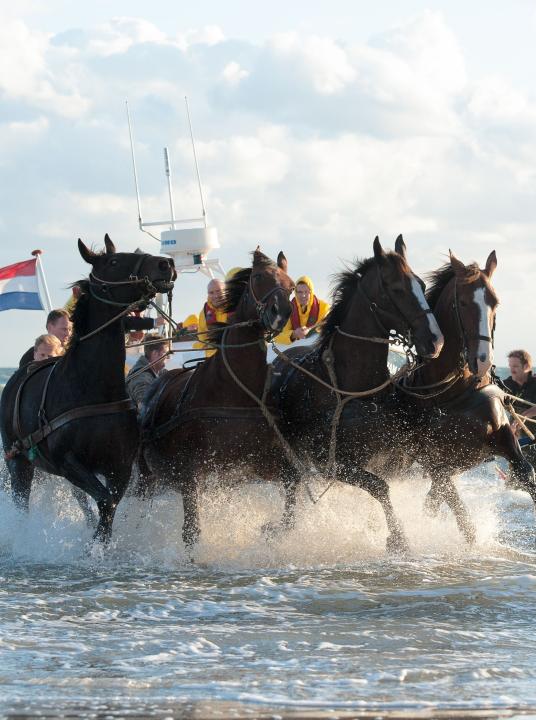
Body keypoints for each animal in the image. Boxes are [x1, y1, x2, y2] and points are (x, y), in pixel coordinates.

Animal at [0, 233, 175, 544]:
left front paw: (100, 543)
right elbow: (106, 501)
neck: (90, 388)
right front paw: (93, 546)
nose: (165, 264)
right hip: (18, 461)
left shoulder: (119, 466)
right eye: (114, 261)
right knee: (21, 501)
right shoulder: (69, 462)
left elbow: (111, 504)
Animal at [138, 248, 296, 552]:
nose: (280, 313)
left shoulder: (254, 464)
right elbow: (191, 531)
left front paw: (272, 529)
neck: (232, 390)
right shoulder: (191, 473)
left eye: (291, 285)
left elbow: (292, 486)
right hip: (145, 477)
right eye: (258, 277)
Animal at [272, 236, 444, 552]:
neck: (352, 388)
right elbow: (379, 486)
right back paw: (284, 527)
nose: (435, 341)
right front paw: (397, 536)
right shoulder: (329, 461)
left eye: (421, 284)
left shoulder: (392, 458)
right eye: (397, 289)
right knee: (292, 484)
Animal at [370, 250, 536, 536]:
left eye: (495, 302)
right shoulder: (435, 462)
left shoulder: (502, 436)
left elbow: (526, 474)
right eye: (464, 302)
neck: (455, 392)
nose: (483, 360)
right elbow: (463, 519)